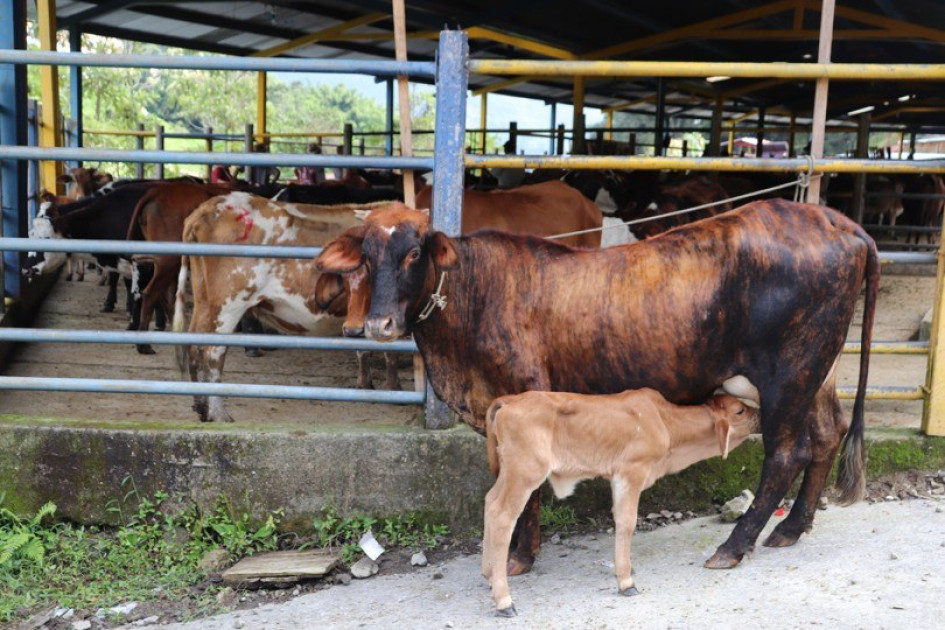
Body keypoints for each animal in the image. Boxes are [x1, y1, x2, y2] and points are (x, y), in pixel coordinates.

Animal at [172, 193, 394, 423]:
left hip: (205, 299)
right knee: (212, 351)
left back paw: (201, 406)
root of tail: (207, 208)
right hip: (229, 302)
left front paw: (367, 386)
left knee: (194, 345)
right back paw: (218, 413)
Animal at [315, 199, 878, 574]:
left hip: (789, 375)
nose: (379, 324)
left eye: (414, 253)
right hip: (818, 374)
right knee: (827, 435)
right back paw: (791, 528)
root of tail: (834, 220)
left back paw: (733, 547)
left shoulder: (525, 396)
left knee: (786, 454)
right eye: (367, 255)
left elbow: (527, 491)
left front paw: (520, 556)